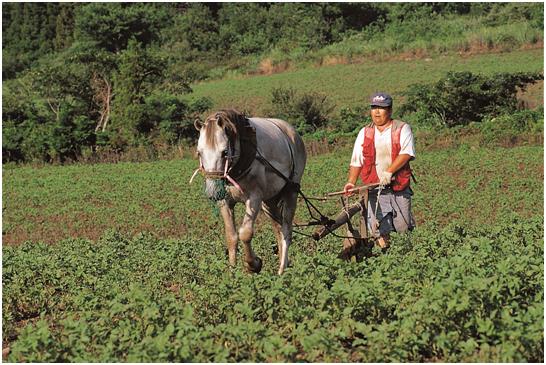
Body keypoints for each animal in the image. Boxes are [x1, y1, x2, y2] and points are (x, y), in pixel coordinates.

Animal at [191, 109, 304, 274]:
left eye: (225, 152)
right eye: (199, 153)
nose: (213, 190)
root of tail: (291, 131)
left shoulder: (254, 198)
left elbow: (245, 233)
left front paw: (253, 264)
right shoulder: (225, 201)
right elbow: (231, 236)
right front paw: (232, 272)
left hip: (291, 191)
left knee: (287, 230)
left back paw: (281, 270)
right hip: (269, 200)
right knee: (278, 229)